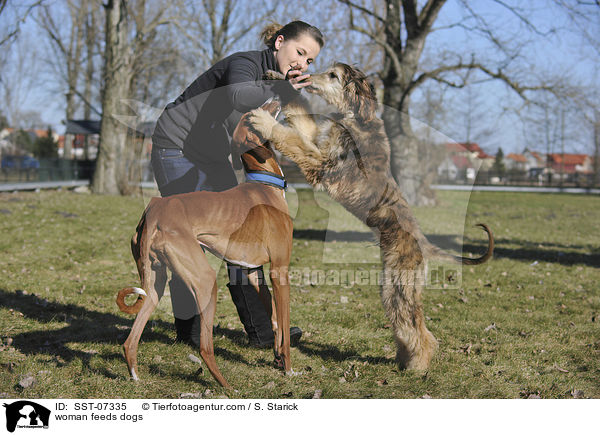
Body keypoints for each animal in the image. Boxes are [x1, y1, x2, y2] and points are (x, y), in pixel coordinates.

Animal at [115, 101, 292, 388]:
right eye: (251, 116)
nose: (275, 100)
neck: (265, 183)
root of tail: (154, 211)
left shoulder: (252, 271)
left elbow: (275, 319)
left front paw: (276, 358)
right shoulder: (280, 270)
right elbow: (285, 326)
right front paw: (288, 367)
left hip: (154, 287)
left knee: (130, 341)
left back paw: (136, 377)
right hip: (206, 282)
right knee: (205, 348)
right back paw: (227, 386)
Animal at [246, 64, 494, 372]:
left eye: (333, 75)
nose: (305, 76)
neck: (356, 118)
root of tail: (424, 244)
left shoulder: (322, 164)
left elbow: (293, 139)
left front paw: (264, 120)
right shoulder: (318, 141)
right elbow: (300, 116)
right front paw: (280, 80)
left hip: (400, 288)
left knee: (421, 332)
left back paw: (418, 367)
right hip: (389, 288)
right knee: (406, 327)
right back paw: (403, 360)